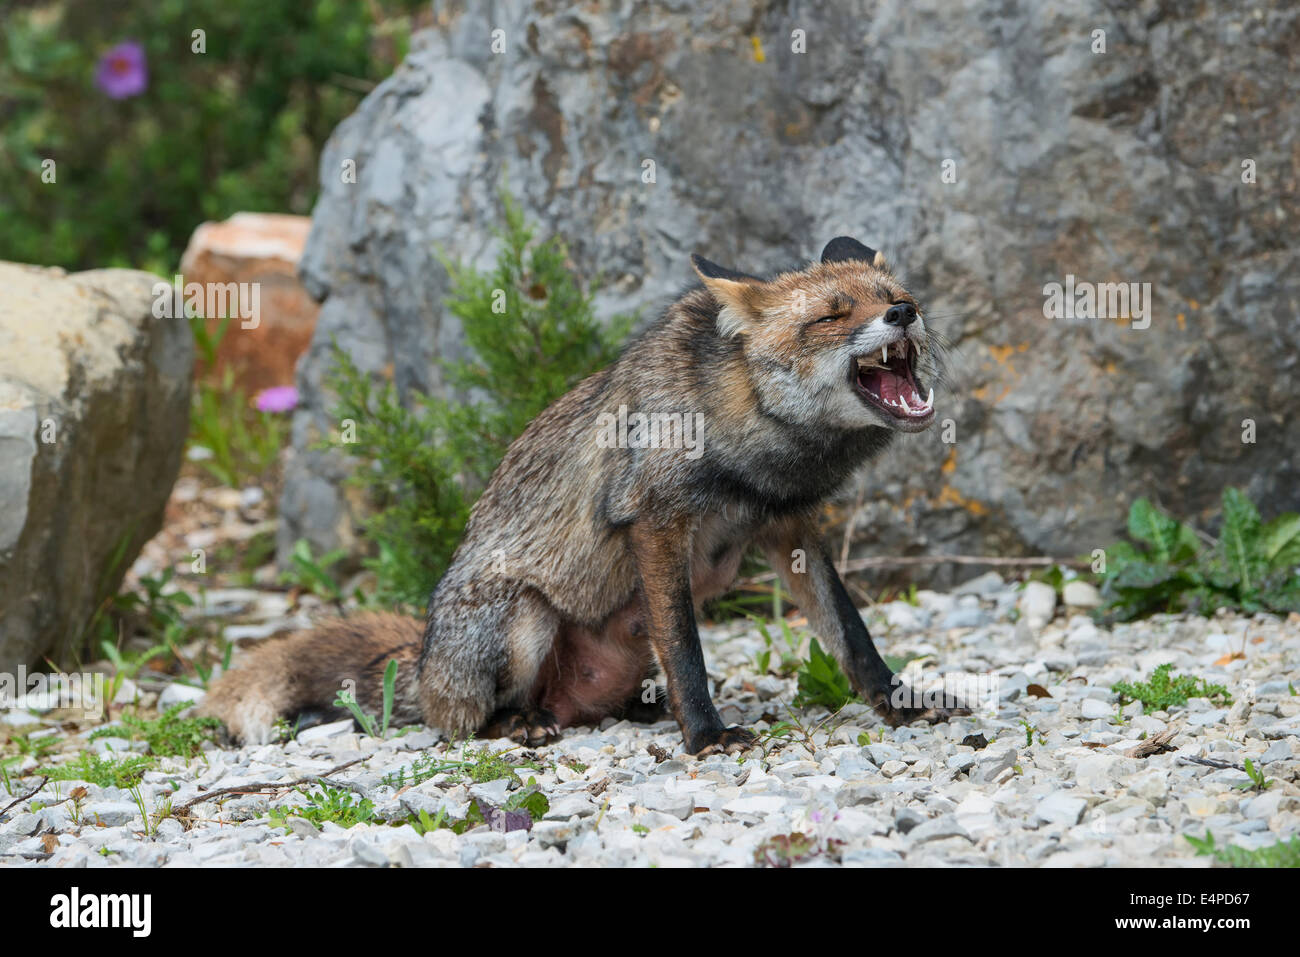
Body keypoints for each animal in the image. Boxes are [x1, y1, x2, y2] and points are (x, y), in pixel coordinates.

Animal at [197, 237, 961, 754]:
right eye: (833, 314)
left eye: (894, 291)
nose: (905, 311)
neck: (756, 449)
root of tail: (424, 658)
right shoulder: (656, 521)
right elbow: (686, 647)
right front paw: (705, 734)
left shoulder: (790, 527)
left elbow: (850, 633)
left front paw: (899, 701)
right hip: (524, 620)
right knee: (463, 723)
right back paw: (519, 722)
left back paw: (635, 709)